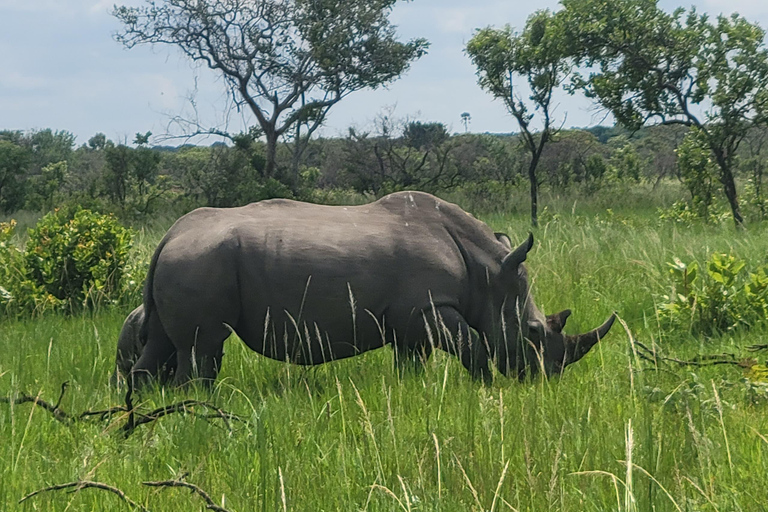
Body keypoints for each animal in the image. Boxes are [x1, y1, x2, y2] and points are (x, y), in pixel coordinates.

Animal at [128, 191, 614, 387]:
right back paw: (196, 404)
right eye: (532, 332)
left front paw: (414, 392)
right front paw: (486, 389)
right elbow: (472, 346)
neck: (489, 272)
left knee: (164, 345)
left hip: (187, 261)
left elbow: (412, 362)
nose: (546, 379)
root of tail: (168, 236)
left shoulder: (410, 320)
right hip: (199, 263)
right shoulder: (428, 308)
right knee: (202, 346)